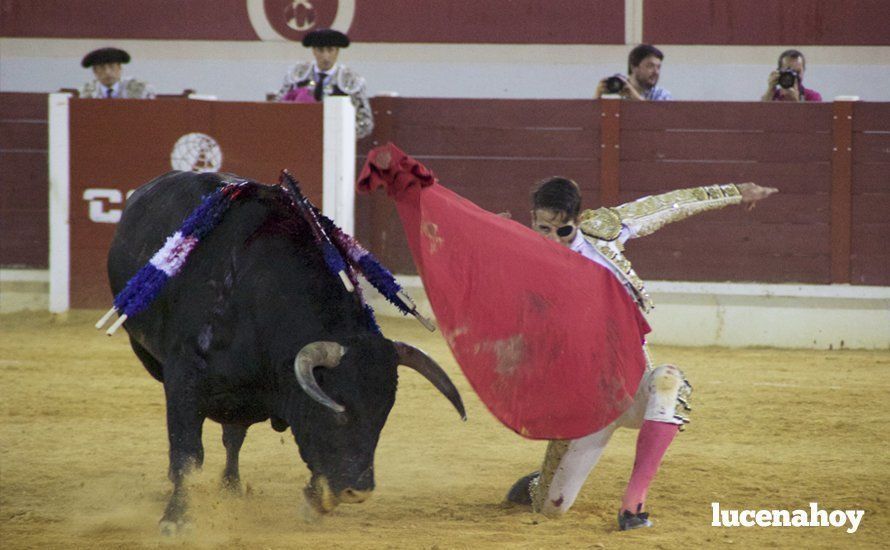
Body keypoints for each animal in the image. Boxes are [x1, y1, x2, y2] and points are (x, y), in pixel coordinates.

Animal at [106, 172, 464, 536]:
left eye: (382, 416)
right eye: (339, 414)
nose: (358, 492)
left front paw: (313, 500)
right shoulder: (184, 377)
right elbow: (186, 453)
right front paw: (176, 519)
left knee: (233, 438)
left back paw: (231, 487)